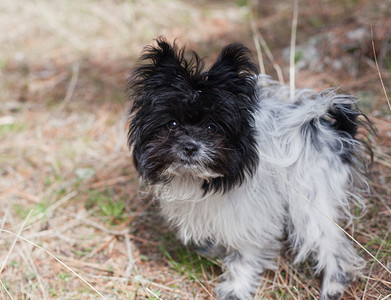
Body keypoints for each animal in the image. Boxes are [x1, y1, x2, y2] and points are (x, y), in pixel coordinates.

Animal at [127, 37, 372, 300]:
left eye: (212, 127)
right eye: (172, 124)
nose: (190, 147)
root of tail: (333, 133)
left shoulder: (248, 216)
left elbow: (242, 255)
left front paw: (236, 288)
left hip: (310, 203)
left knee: (332, 245)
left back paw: (333, 286)